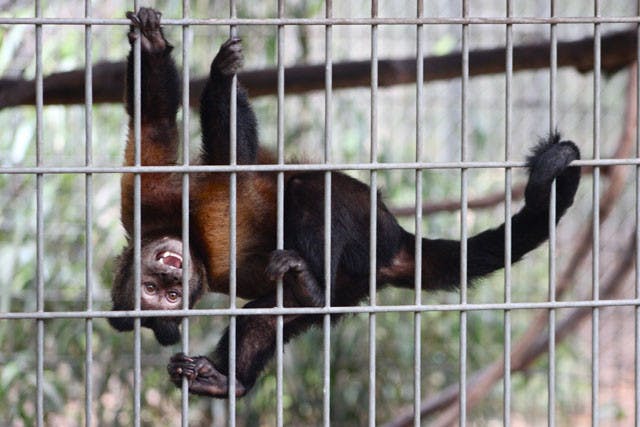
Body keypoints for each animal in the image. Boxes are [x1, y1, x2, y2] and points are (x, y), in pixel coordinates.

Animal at [108, 8, 581, 398]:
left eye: (166, 293)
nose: (170, 271)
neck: (192, 243)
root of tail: (394, 242)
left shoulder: (145, 203)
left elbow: (202, 142)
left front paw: (167, 52)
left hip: (362, 214)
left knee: (307, 189)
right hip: (352, 277)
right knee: (280, 307)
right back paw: (245, 364)